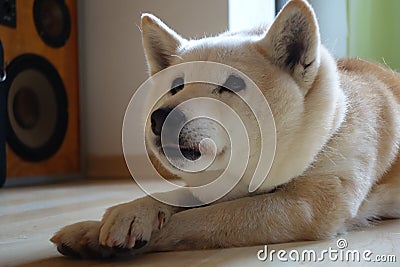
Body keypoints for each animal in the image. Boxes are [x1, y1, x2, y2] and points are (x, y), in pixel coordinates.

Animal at [50, 0, 400, 260]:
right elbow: (175, 195)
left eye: (232, 85)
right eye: (175, 86)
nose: (159, 117)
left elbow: (192, 221)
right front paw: (108, 222)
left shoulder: (304, 207)